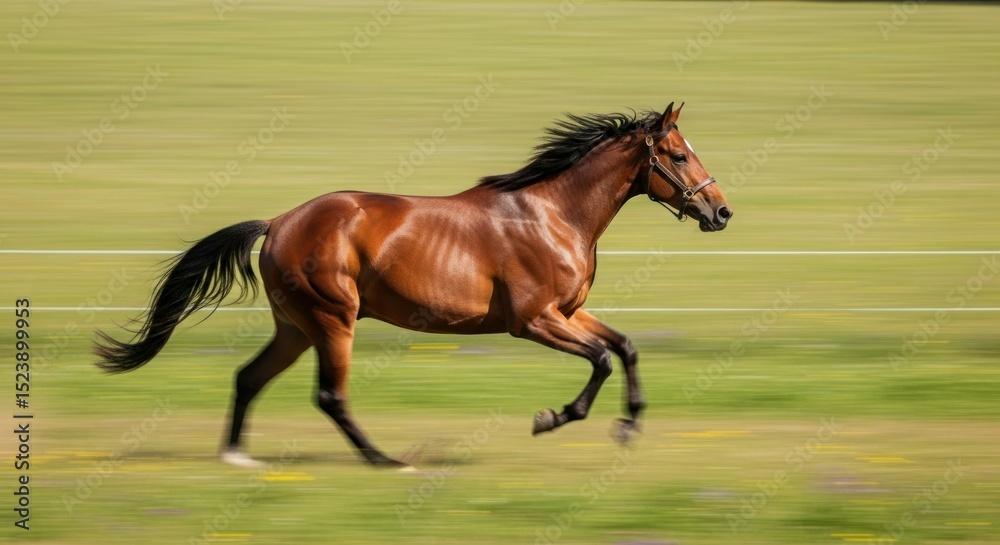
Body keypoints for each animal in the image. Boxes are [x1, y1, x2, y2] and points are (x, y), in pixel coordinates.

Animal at [95, 102, 732, 469]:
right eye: (678, 155)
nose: (721, 212)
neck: (554, 213)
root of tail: (278, 222)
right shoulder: (533, 320)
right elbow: (600, 359)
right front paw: (551, 418)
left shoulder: (569, 312)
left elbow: (625, 347)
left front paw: (629, 426)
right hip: (332, 319)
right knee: (329, 395)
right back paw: (385, 460)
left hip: (296, 326)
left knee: (250, 378)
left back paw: (236, 458)